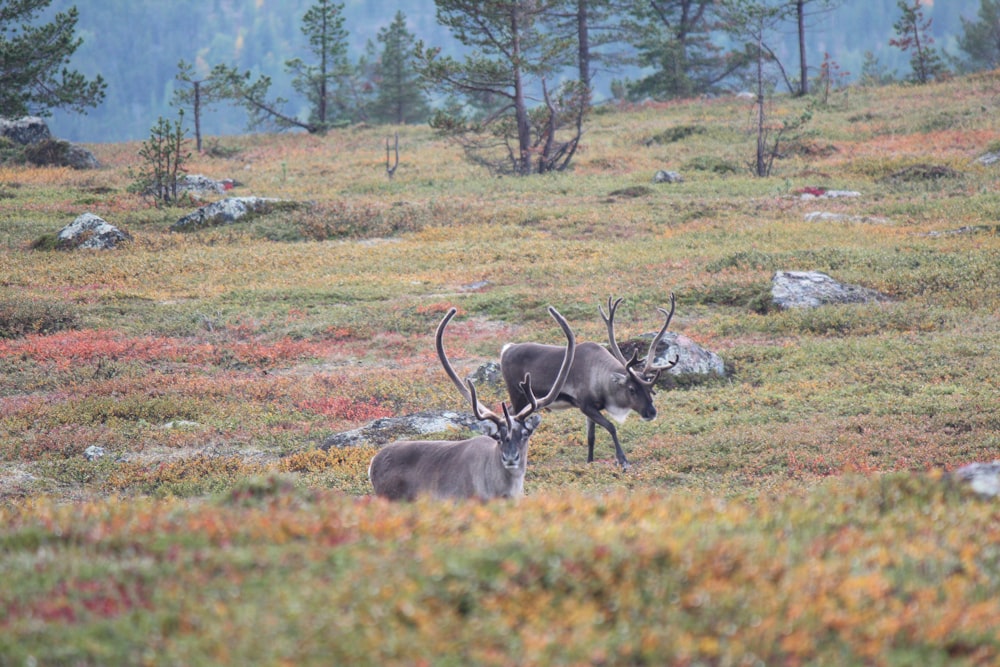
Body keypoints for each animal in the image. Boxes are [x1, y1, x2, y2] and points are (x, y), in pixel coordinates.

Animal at [500, 292, 680, 470]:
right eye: (631, 389)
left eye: (650, 389)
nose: (652, 412)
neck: (600, 380)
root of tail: (506, 349)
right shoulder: (585, 405)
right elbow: (611, 427)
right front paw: (623, 460)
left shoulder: (591, 408)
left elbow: (591, 437)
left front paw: (590, 462)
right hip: (517, 393)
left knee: (508, 412)